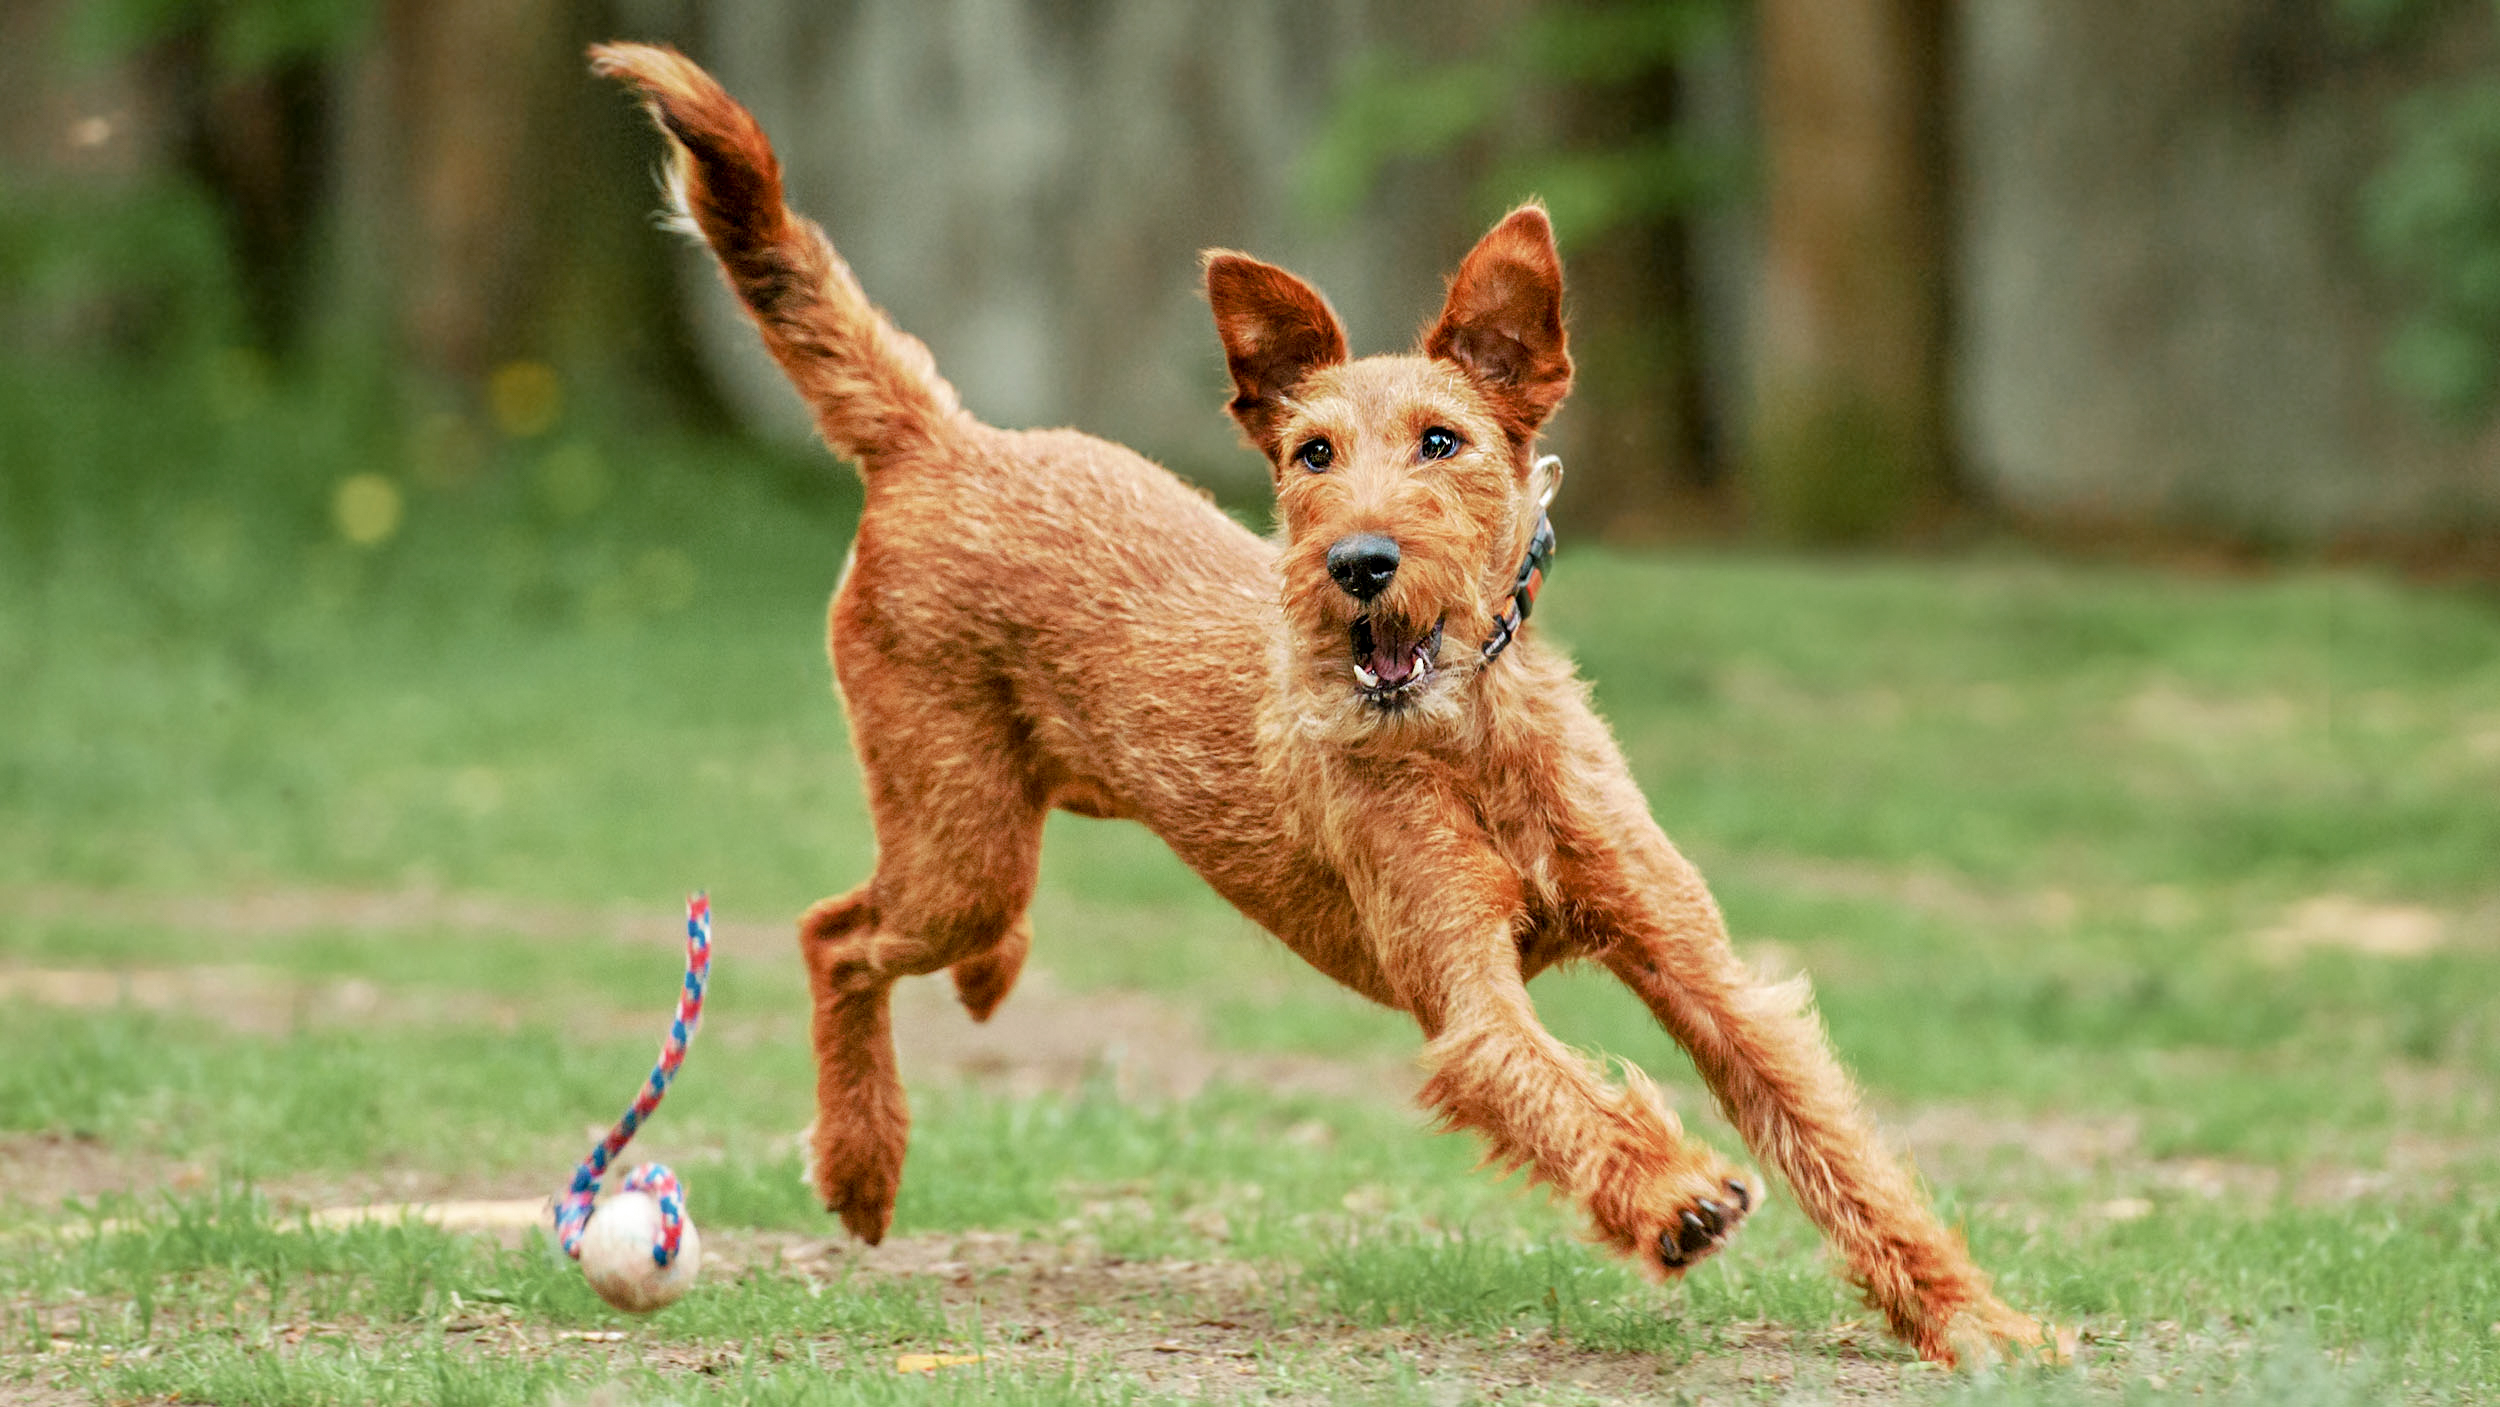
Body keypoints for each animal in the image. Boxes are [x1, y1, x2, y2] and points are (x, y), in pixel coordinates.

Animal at [595, 41, 2040, 1369]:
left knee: (912, 923)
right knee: (837, 931)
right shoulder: (1466, 991)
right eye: (1311, 453)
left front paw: (1982, 1321)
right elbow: (1553, 1086)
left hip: (1002, 822)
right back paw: (862, 1160)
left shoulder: (1698, 966)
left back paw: (976, 996)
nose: (1357, 564)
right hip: (961, 836)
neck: (1471, 739)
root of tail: (943, 440)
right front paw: (1677, 1194)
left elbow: (1839, 1149)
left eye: (1443, 442)